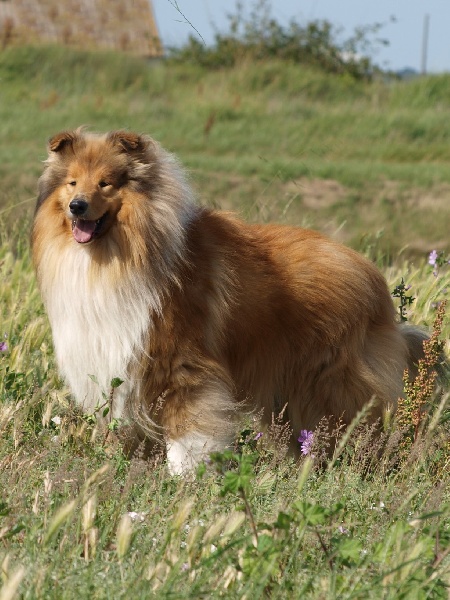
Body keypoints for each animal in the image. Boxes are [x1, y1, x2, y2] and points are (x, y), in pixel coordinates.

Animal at [31, 127, 426, 474]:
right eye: (72, 182)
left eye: (105, 183)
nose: (77, 206)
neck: (120, 254)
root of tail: (372, 274)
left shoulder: (185, 366)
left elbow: (189, 436)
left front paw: (184, 480)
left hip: (330, 384)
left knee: (357, 428)